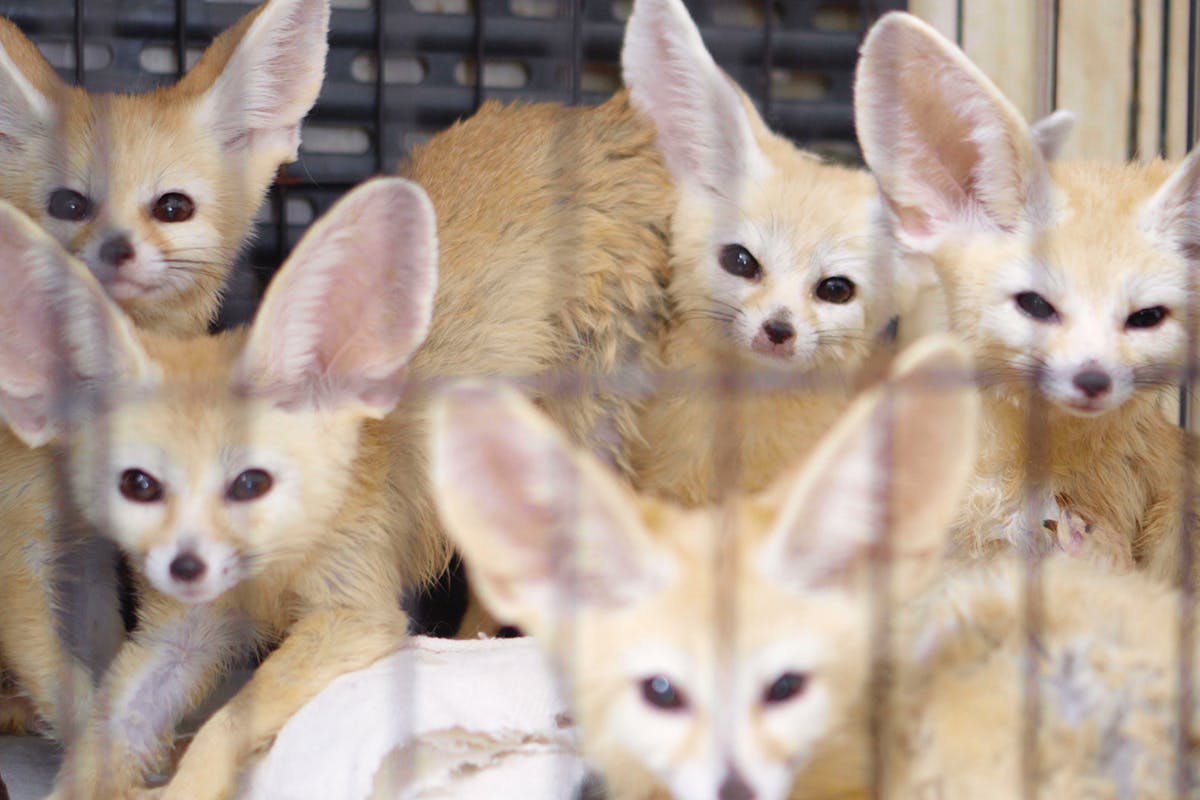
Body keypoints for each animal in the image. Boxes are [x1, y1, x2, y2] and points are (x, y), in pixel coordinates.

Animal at [0, 178, 451, 796]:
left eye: (250, 483)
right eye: (139, 485)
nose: (187, 567)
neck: (263, 583)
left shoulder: (356, 612)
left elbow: (229, 722)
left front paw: (188, 782)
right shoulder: (178, 634)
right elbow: (107, 733)